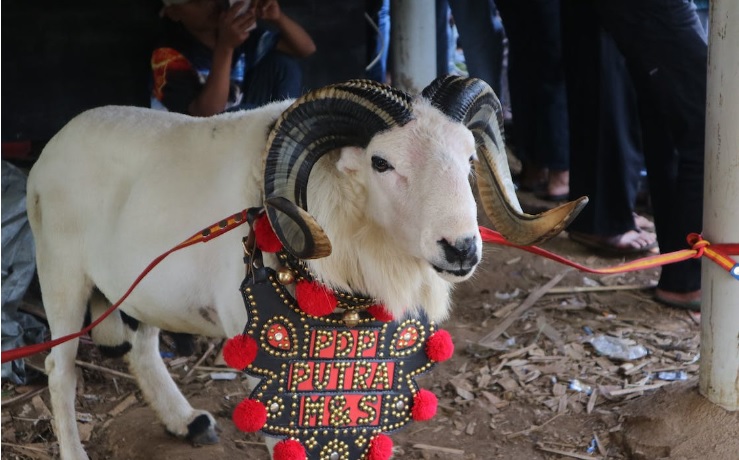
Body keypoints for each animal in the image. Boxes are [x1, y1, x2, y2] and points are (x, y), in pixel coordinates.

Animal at [26, 77, 588, 458]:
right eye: (381, 163)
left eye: (471, 158)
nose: (461, 249)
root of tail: (52, 147)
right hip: (60, 275)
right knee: (59, 368)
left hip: (137, 287)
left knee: (142, 350)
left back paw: (188, 423)